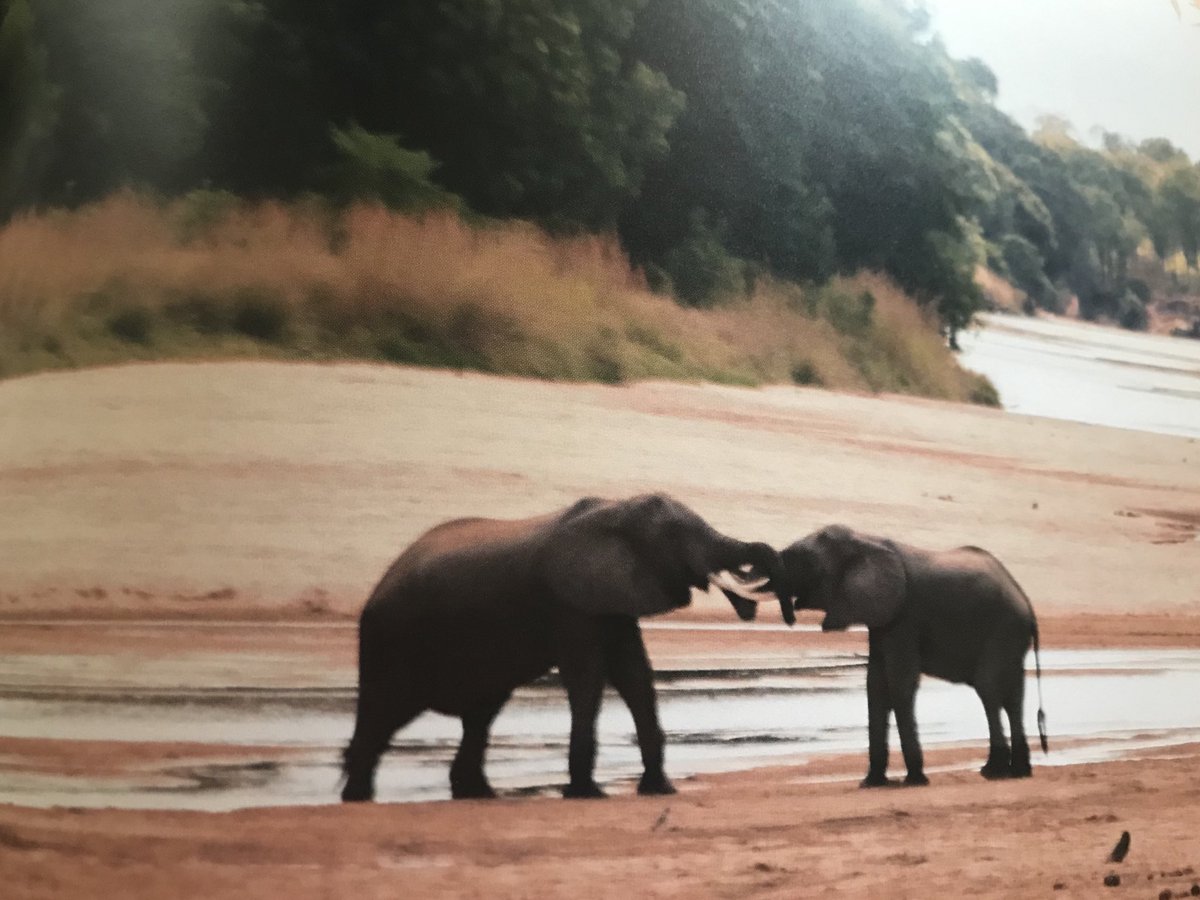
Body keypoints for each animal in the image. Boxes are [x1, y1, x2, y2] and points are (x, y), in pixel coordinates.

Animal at [341, 493, 791, 802]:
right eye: (676, 537)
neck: (617, 509)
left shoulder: (612, 597)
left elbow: (634, 673)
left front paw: (660, 790)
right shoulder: (570, 603)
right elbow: (588, 676)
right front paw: (588, 794)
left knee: (480, 715)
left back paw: (476, 793)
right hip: (391, 638)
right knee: (385, 710)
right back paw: (358, 797)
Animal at [782, 525, 1047, 787]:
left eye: (807, 563)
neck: (866, 540)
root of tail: (1028, 605)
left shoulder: (905, 617)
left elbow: (899, 684)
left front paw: (915, 779)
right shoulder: (883, 619)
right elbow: (875, 685)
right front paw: (871, 783)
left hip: (1002, 631)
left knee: (988, 689)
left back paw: (993, 772)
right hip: (1010, 636)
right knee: (1013, 697)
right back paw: (1019, 771)